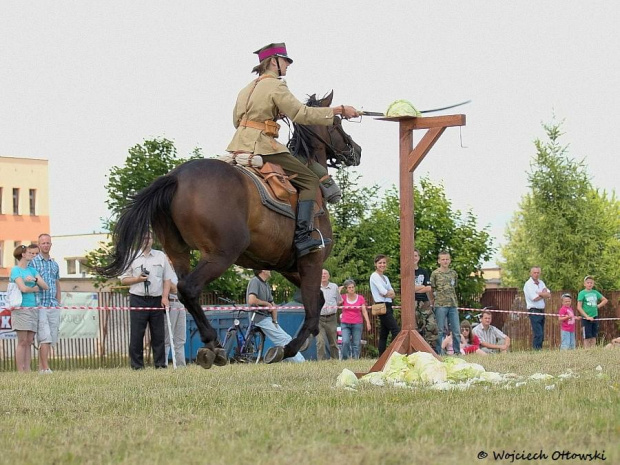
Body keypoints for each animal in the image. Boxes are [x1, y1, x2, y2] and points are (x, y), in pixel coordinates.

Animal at [94, 92, 360, 368]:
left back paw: (212, 347)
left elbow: (317, 300)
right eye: (337, 122)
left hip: (178, 253)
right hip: (221, 255)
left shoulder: (290, 266)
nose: (356, 150)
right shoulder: (311, 261)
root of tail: (176, 176)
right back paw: (213, 341)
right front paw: (289, 348)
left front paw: (301, 342)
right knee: (189, 288)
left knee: (186, 291)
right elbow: (312, 306)